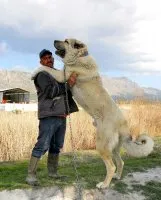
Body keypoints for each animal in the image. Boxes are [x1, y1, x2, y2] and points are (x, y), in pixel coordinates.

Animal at [32, 39, 153, 189]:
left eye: (66, 41)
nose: (54, 40)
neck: (79, 57)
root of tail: (123, 125)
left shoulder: (63, 75)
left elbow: (48, 69)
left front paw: (34, 72)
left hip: (101, 145)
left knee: (111, 166)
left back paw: (104, 184)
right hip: (114, 148)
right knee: (120, 162)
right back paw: (117, 177)